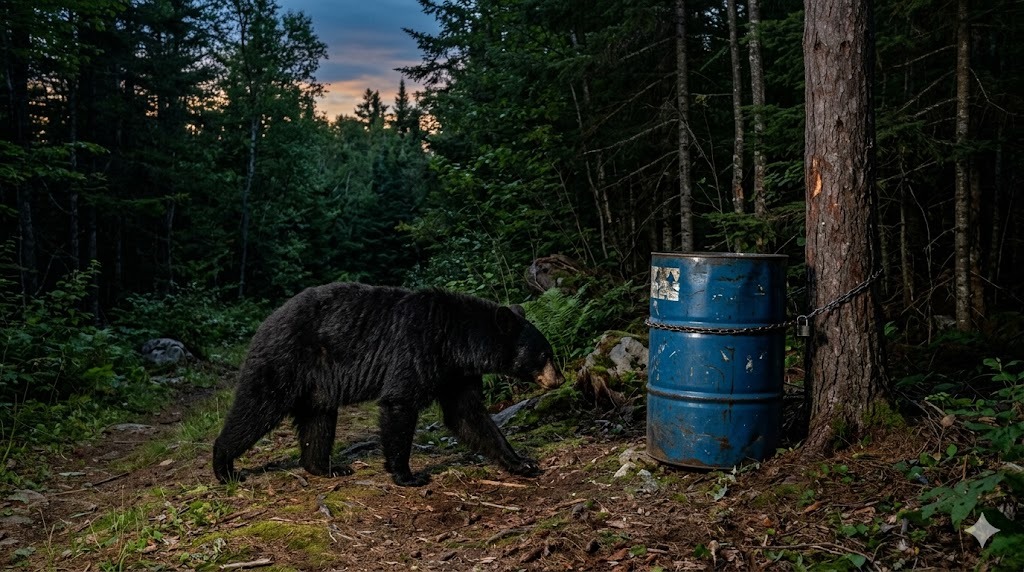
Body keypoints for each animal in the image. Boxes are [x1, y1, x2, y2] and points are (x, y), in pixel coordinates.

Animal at [212, 282, 564, 487]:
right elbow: (400, 402)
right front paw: (406, 474)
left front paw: (522, 462)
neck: (456, 339)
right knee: (256, 408)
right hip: (284, 361)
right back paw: (225, 467)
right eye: (544, 354)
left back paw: (325, 467)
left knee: (318, 419)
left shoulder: (455, 373)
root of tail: (265, 322)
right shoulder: (418, 348)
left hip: (318, 384)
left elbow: (469, 415)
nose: (559, 379)